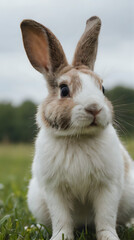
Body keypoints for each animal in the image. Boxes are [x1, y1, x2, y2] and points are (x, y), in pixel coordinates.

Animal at [20, 16, 134, 240]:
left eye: (102, 88)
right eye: (64, 90)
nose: (94, 108)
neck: (78, 137)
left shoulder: (108, 187)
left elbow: (105, 219)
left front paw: (110, 237)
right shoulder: (54, 190)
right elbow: (61, 219)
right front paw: (60, 237)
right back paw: (33, 228)